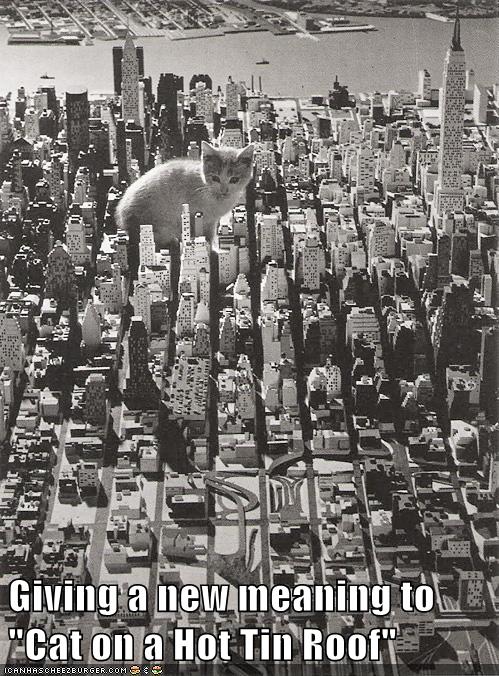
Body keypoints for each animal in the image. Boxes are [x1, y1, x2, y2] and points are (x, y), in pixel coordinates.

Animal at [115, 141, 254, 249]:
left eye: (234, 179)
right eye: (215, 178)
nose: (224, 190)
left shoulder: (211, 220)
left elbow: (209, 234)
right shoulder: (196, 215)